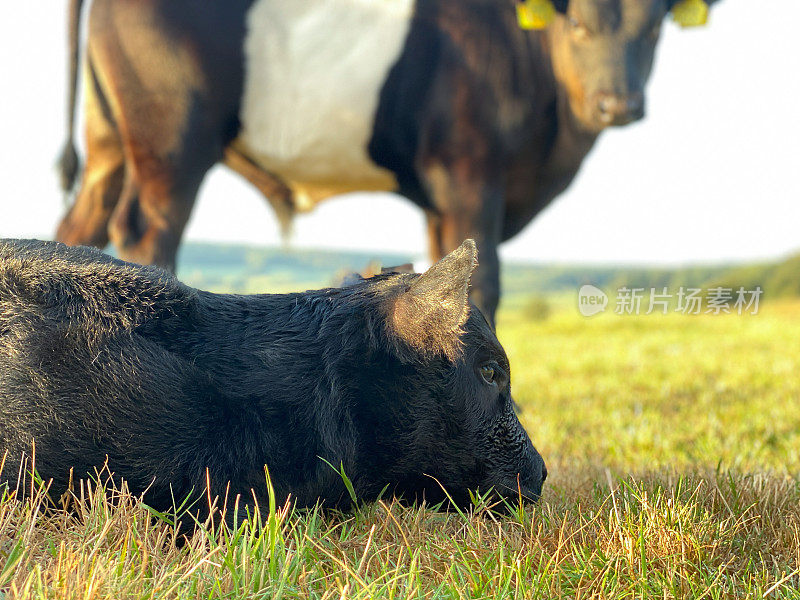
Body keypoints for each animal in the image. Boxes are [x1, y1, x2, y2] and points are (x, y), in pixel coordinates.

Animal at [54, 0, 720, 324]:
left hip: (110, 142)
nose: (619, 103)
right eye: (578, 22)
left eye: (655, 28)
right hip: (171, 139)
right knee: (148, 232)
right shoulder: (469, 173)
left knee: (78, 228)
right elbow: (482, 280)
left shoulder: (442, 201)